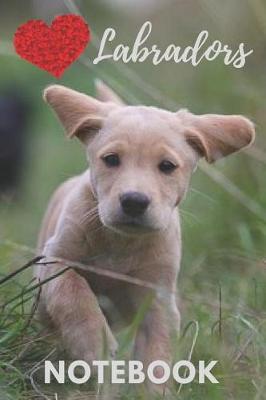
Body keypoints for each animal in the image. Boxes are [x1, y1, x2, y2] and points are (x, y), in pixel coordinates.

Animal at [34, 82, 254, 378]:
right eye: (111, 159)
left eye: (167, 166)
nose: (134, 201)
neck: (120, 243)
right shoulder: (55, 260)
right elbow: (73, 293)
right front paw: (96, 346)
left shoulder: (157, 299)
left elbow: (157, 355)